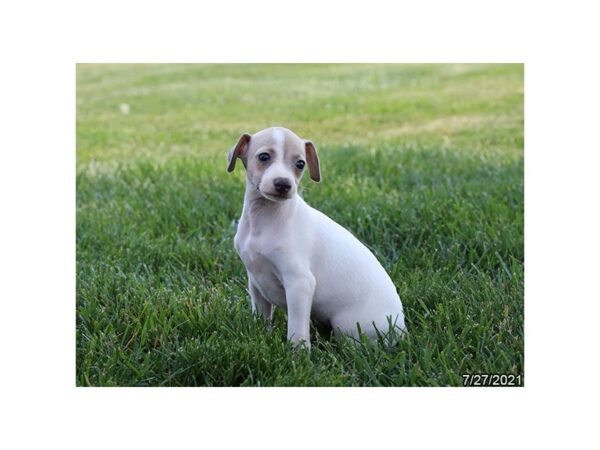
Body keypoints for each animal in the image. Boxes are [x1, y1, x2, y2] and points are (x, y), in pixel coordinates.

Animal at [227, 126, 406, 348]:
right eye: (263, 157)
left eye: (300, 164)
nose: (283, 184)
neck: (264, 220)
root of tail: (401, 331)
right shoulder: (256, 281)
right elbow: (262, 316)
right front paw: (261, 337)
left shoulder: (299, 283)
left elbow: (296, 329)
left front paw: (297, 353)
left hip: (348, 326)